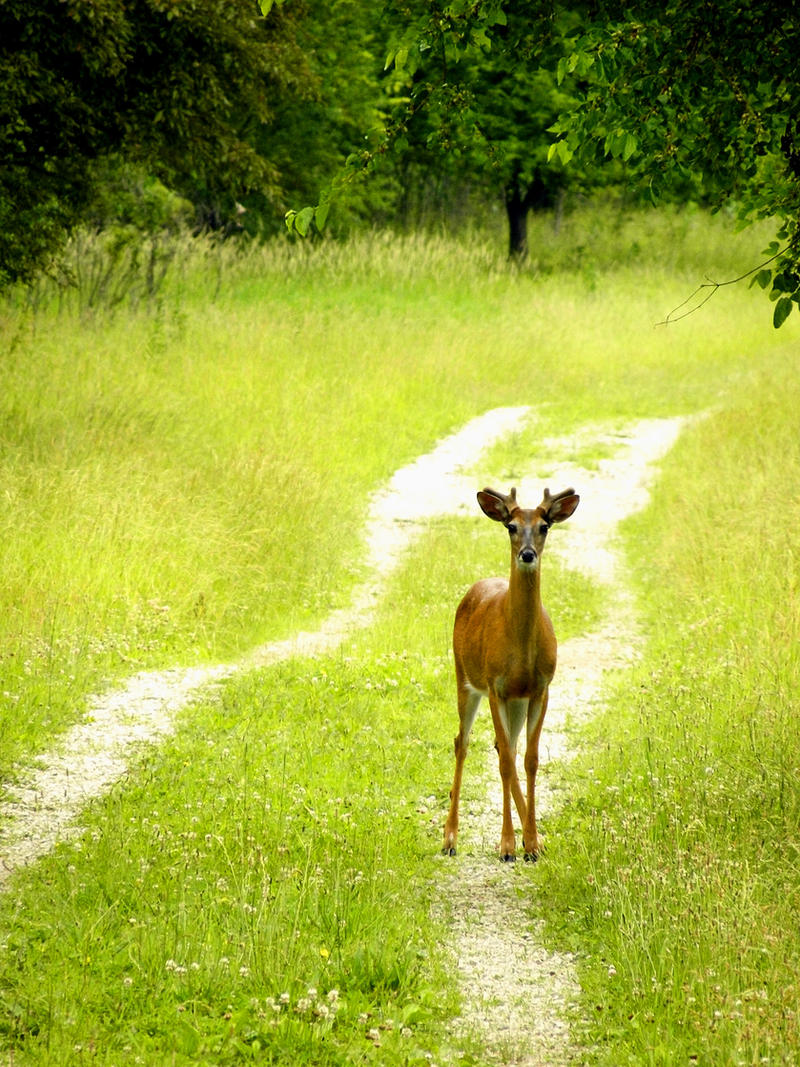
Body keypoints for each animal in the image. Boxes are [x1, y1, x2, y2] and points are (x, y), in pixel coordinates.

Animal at [441, 488, 580, 862]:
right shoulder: (495, 686)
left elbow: (530, 760)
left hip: (515, 701)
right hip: (465, 678)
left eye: (545, 526)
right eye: (511, 526)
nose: (527, 554)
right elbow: (504, 763)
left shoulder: (541, 688)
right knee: (463, 743)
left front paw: (530, 842)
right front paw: (506, 845)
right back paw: (450, 838)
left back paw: (536, 840)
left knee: (508, 748)